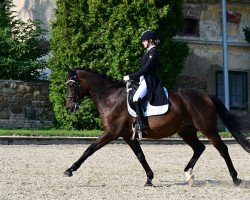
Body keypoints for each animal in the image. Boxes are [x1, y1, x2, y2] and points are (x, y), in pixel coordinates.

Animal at [63, 68, 249, 187]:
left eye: (71, 85)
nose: (69, 107)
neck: (110, 96)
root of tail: (206, 95)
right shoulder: (127, 135)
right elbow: (140, 156)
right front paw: (149, 179)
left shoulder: (112, 132)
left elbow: (89, 149)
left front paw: (69, 170)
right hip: (186, 131)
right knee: (199, 148)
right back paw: (188, 173)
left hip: (207, 128)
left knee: (222, 149)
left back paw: (235, 178)